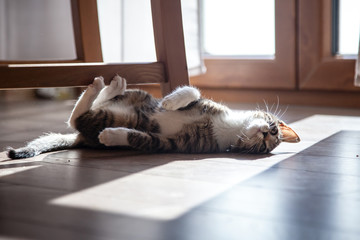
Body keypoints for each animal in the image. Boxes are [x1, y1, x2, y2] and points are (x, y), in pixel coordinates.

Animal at [7, 74, 300, 158]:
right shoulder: (206, 104)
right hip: (140, 97)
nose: (267, 132)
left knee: (79, 118)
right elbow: (192, 90)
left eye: (264, 146)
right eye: (274, 128)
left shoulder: (178, 145)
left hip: (104, 118)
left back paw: (100, 89)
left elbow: (142, 139)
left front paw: (113, 137)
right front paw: (171, 101)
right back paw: (112, 85)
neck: (229, 127)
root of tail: (80, 138)